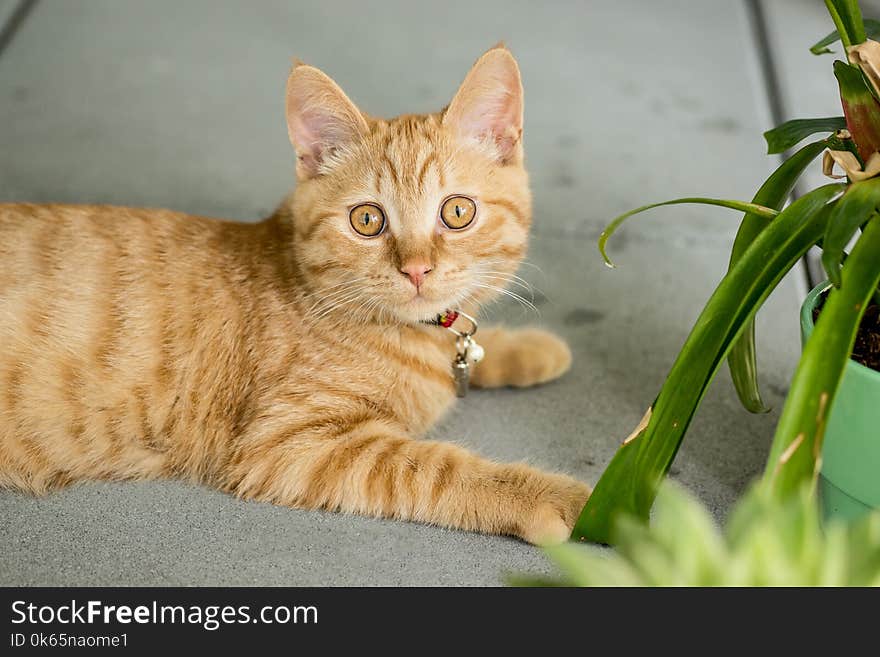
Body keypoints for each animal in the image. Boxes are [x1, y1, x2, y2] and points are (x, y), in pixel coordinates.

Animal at [3, 46, 592, 544]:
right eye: (368, 220)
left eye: (458, 212)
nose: (416, 270)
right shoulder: (289, 442)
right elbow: (436, 469)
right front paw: (571, 501)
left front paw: (531, 348)